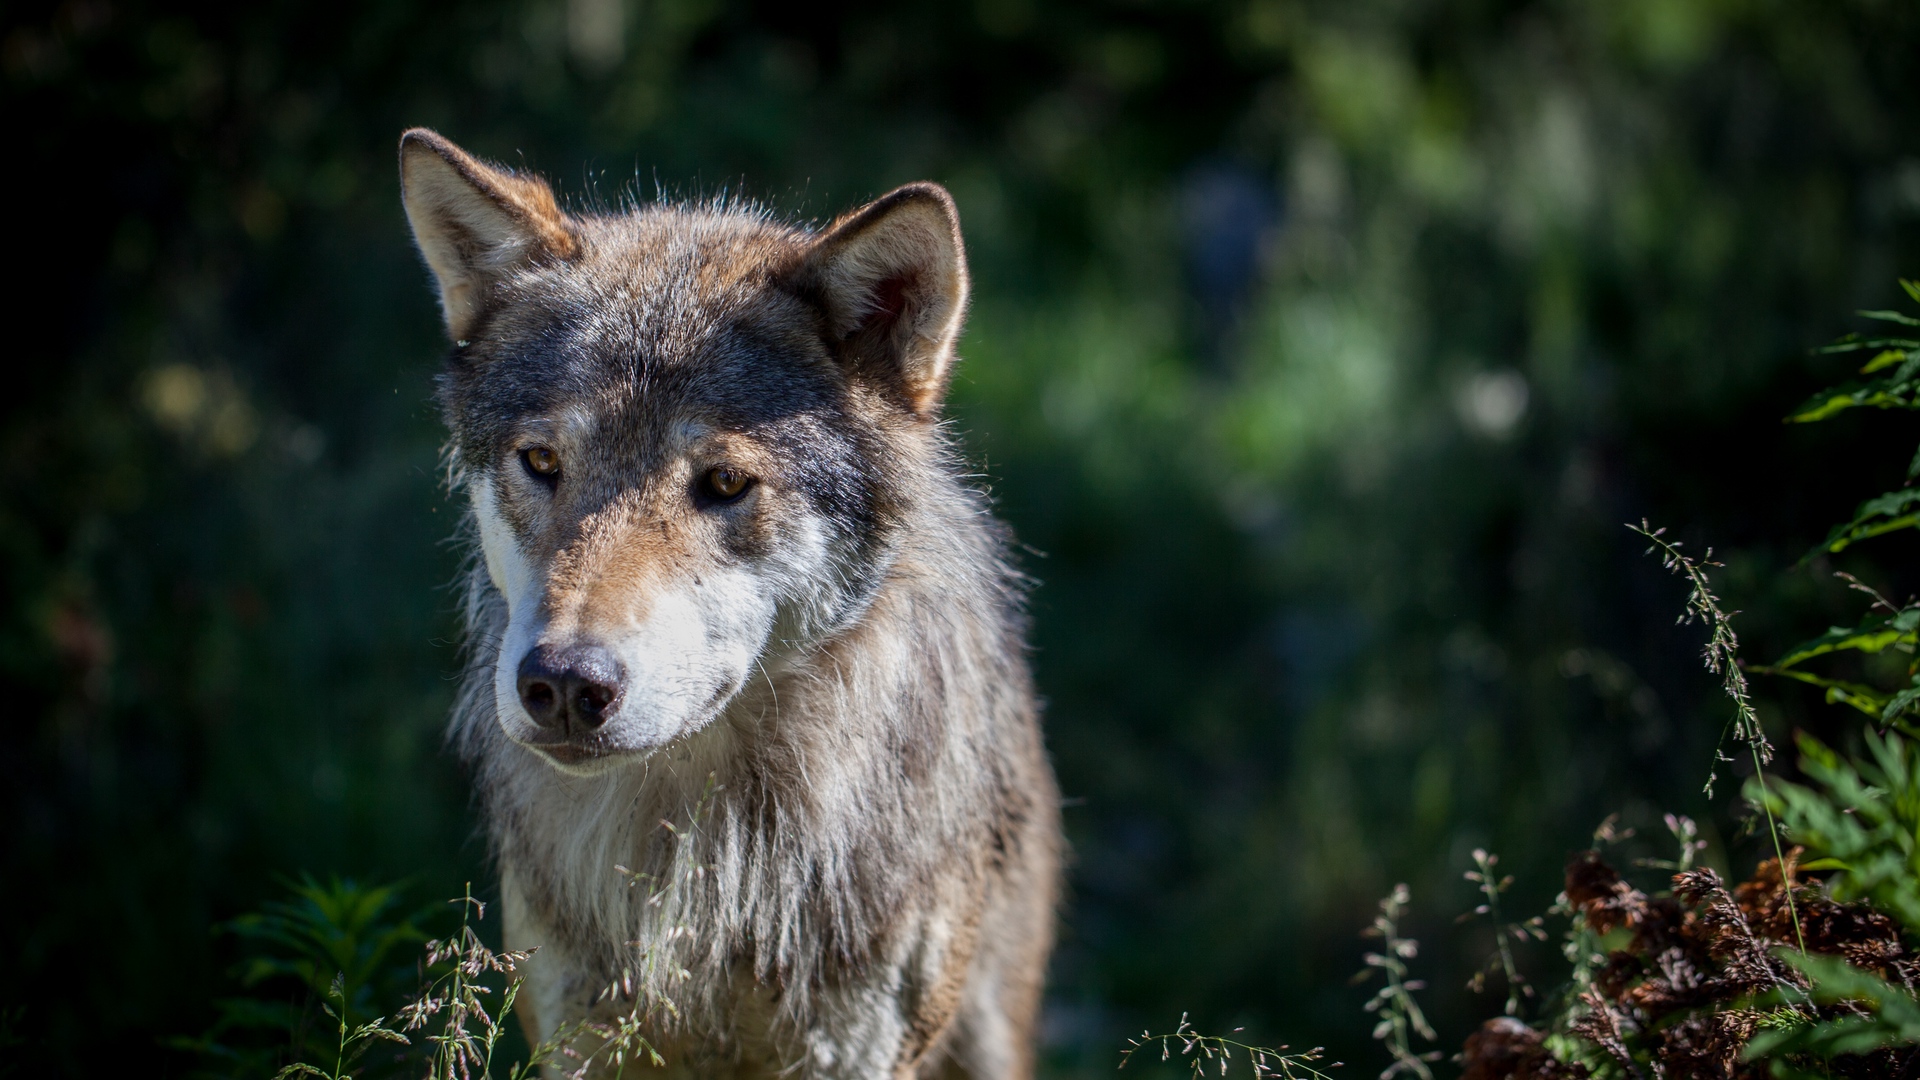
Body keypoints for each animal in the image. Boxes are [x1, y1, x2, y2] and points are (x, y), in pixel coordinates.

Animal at [398, 129, 1061, 1079]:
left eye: (722, 483)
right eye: (542, 462)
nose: (563, 684)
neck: (708, 857)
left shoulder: (853, 1051)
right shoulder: (579, 1037)